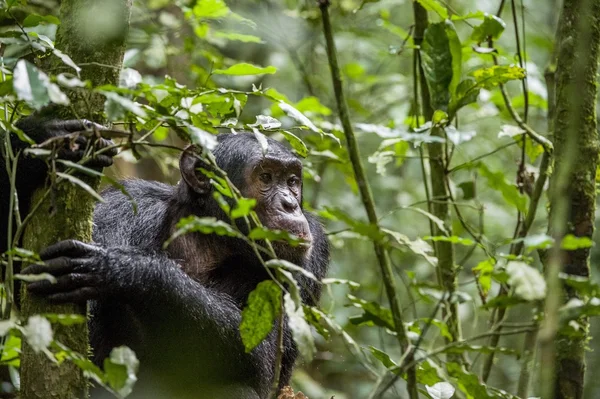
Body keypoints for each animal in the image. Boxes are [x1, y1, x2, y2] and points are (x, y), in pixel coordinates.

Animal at [0, 114, 328, 398]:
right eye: (266, 177)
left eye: (292, 181)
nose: (289, 205)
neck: (207, 236)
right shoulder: (119, 206)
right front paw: (39, 138)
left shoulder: (311, 250)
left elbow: (260, 354)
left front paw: (122, 268)